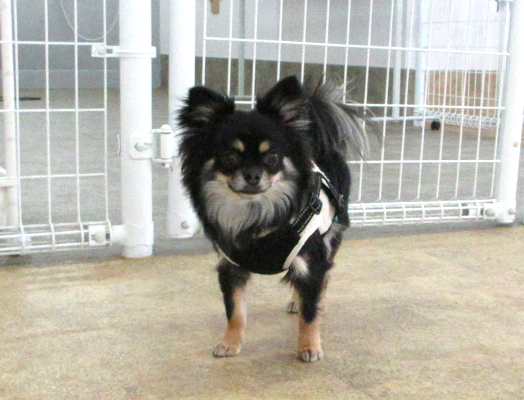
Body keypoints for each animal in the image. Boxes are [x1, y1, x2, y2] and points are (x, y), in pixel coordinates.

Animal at [177, 76, 369, 362]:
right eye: (229, 157)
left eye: (272, 157)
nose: (253, 175)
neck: (255, 215)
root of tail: (320, 144)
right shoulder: (230, 268)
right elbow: (235, 311)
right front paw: (229, 344)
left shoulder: (311, 261)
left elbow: (310, 311)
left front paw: (309, 346)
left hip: (331, 238)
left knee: (323, 279)